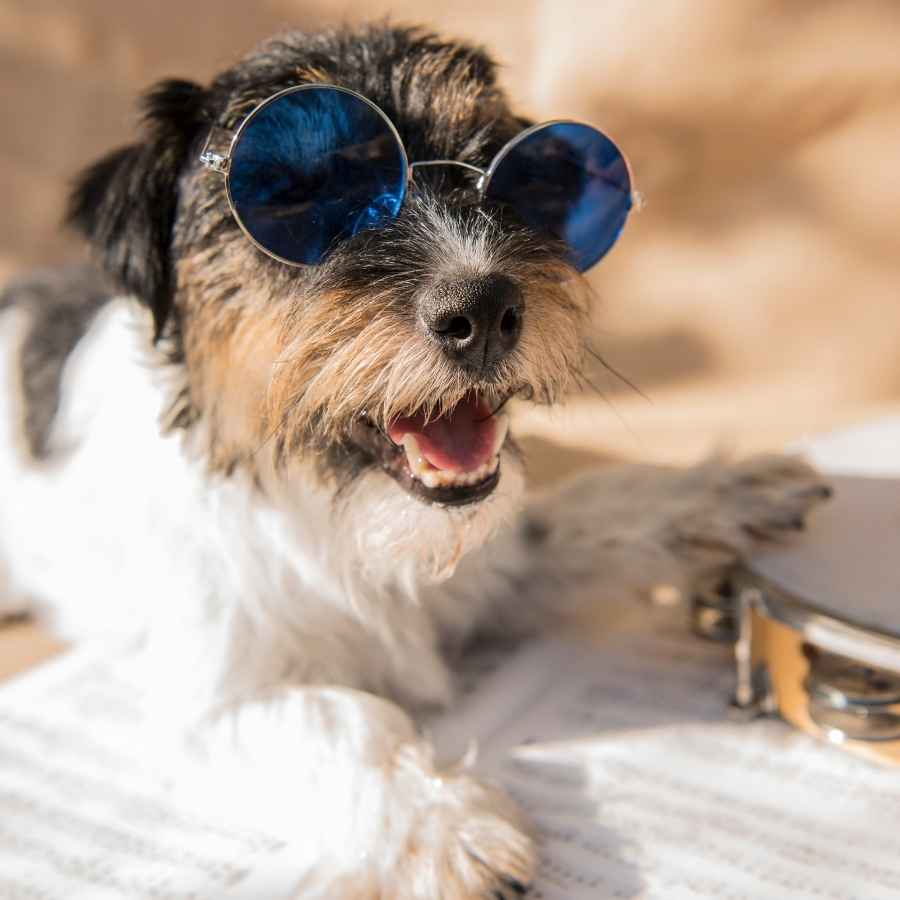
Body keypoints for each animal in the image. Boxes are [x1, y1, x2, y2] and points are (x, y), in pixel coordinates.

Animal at [0, 24, 828, 900]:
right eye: (296, 197)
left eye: (512, 174)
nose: (486, 310)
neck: (338, 516)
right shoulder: (214, 703)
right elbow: (347, 718)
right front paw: (444, 828)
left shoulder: (492, 570)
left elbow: (579, 516)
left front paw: (718, 493)